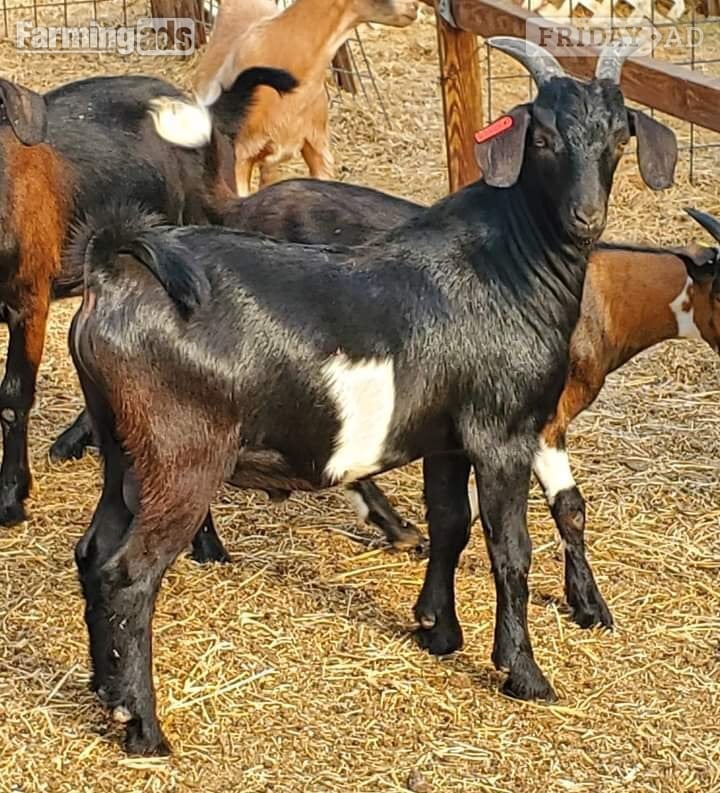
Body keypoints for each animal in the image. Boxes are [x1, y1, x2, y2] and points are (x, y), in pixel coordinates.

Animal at [69, 38, 677, 754]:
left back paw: (105, 691)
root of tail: (114, 273)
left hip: (124, 450)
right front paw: (523, 673)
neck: (507, 266)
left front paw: (438, 630)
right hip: (182, 455)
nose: (587, 217)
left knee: (93, 554)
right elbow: (510, 548)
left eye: (617, 137)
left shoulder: (447, 437)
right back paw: (143, 727)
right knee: (129, 575)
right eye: (545, 137)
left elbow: (451, 524)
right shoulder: (503, 433)